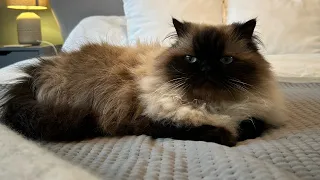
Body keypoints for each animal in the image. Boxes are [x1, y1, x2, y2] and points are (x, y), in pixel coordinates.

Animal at [0, 18, 284, 146]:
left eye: (225, 60)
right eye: (191, 59)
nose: (206, 68)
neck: (210, 105)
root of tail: (36, 71)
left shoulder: (255, 115)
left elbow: (251, 124)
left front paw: (237, 131)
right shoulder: (150, 121)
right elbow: (206, 131)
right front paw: (228, 136)